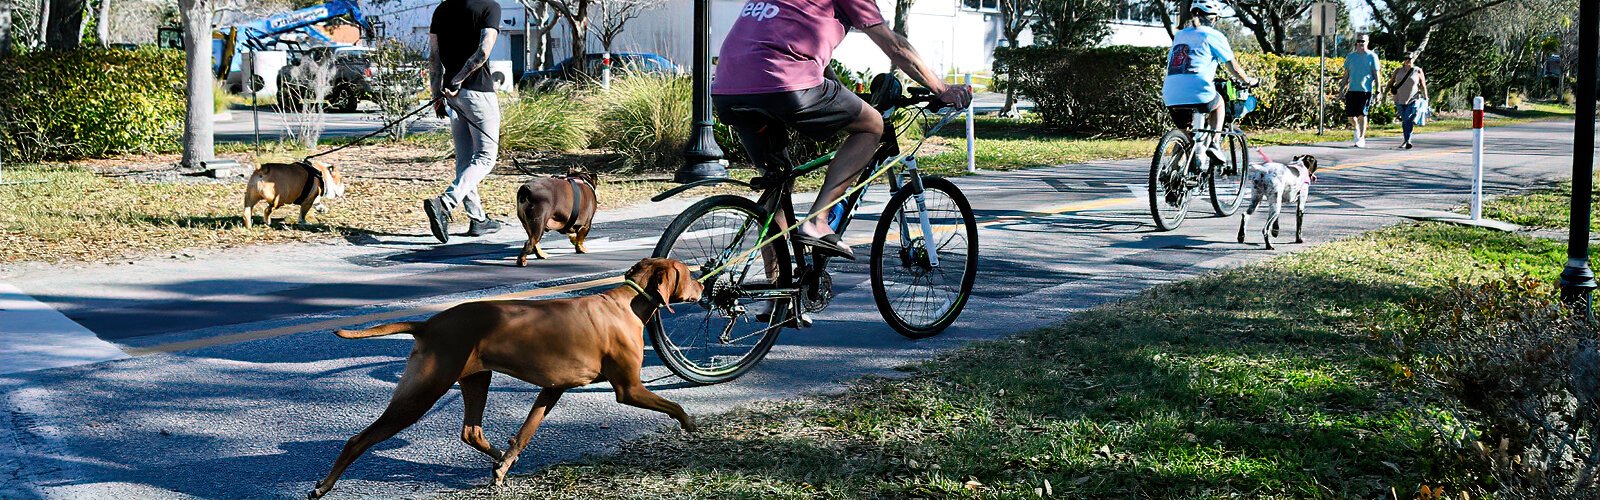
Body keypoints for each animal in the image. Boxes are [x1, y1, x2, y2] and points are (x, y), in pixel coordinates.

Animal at [305, 258, 700, 500]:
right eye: (689, 274)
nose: (702, 286)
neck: (628, 303)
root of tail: (428, 325)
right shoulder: (628, 389)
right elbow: (675, 405)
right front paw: (691, 425)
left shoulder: (552, 389)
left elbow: (524, 433)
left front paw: (504, 465)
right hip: (420, 395)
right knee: (357, 440)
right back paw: (323, 486)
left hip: (476, 380)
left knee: (471, 432)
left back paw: (494, 454)